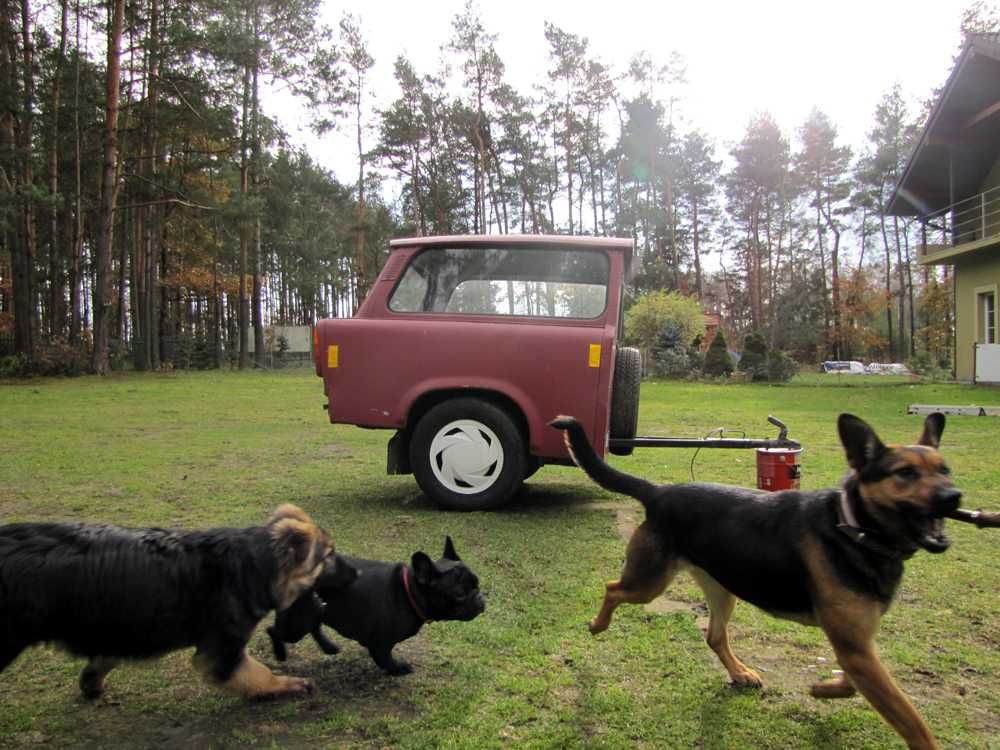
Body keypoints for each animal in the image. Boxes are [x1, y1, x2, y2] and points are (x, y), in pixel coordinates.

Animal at [0, 502, 338, 704]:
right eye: (328, 556)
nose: (351, 567)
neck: (253, 563)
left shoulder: (127, 628)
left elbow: (107, 656)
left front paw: (91, 682)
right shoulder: (220, 651)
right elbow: (257, 674)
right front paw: (287, 684)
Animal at [552, 414, 964, 750]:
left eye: (945, 470)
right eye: (905, 473)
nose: (954, 495)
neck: (852, 528)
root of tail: (659, 491)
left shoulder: (857, 646)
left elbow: (853, 682)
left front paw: (824, 688)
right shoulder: (855, 647)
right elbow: (911, 719)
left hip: (723, 588)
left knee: (714, 636)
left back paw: (740, 673)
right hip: (648, 583)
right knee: (612, 589)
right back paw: (598, 624)